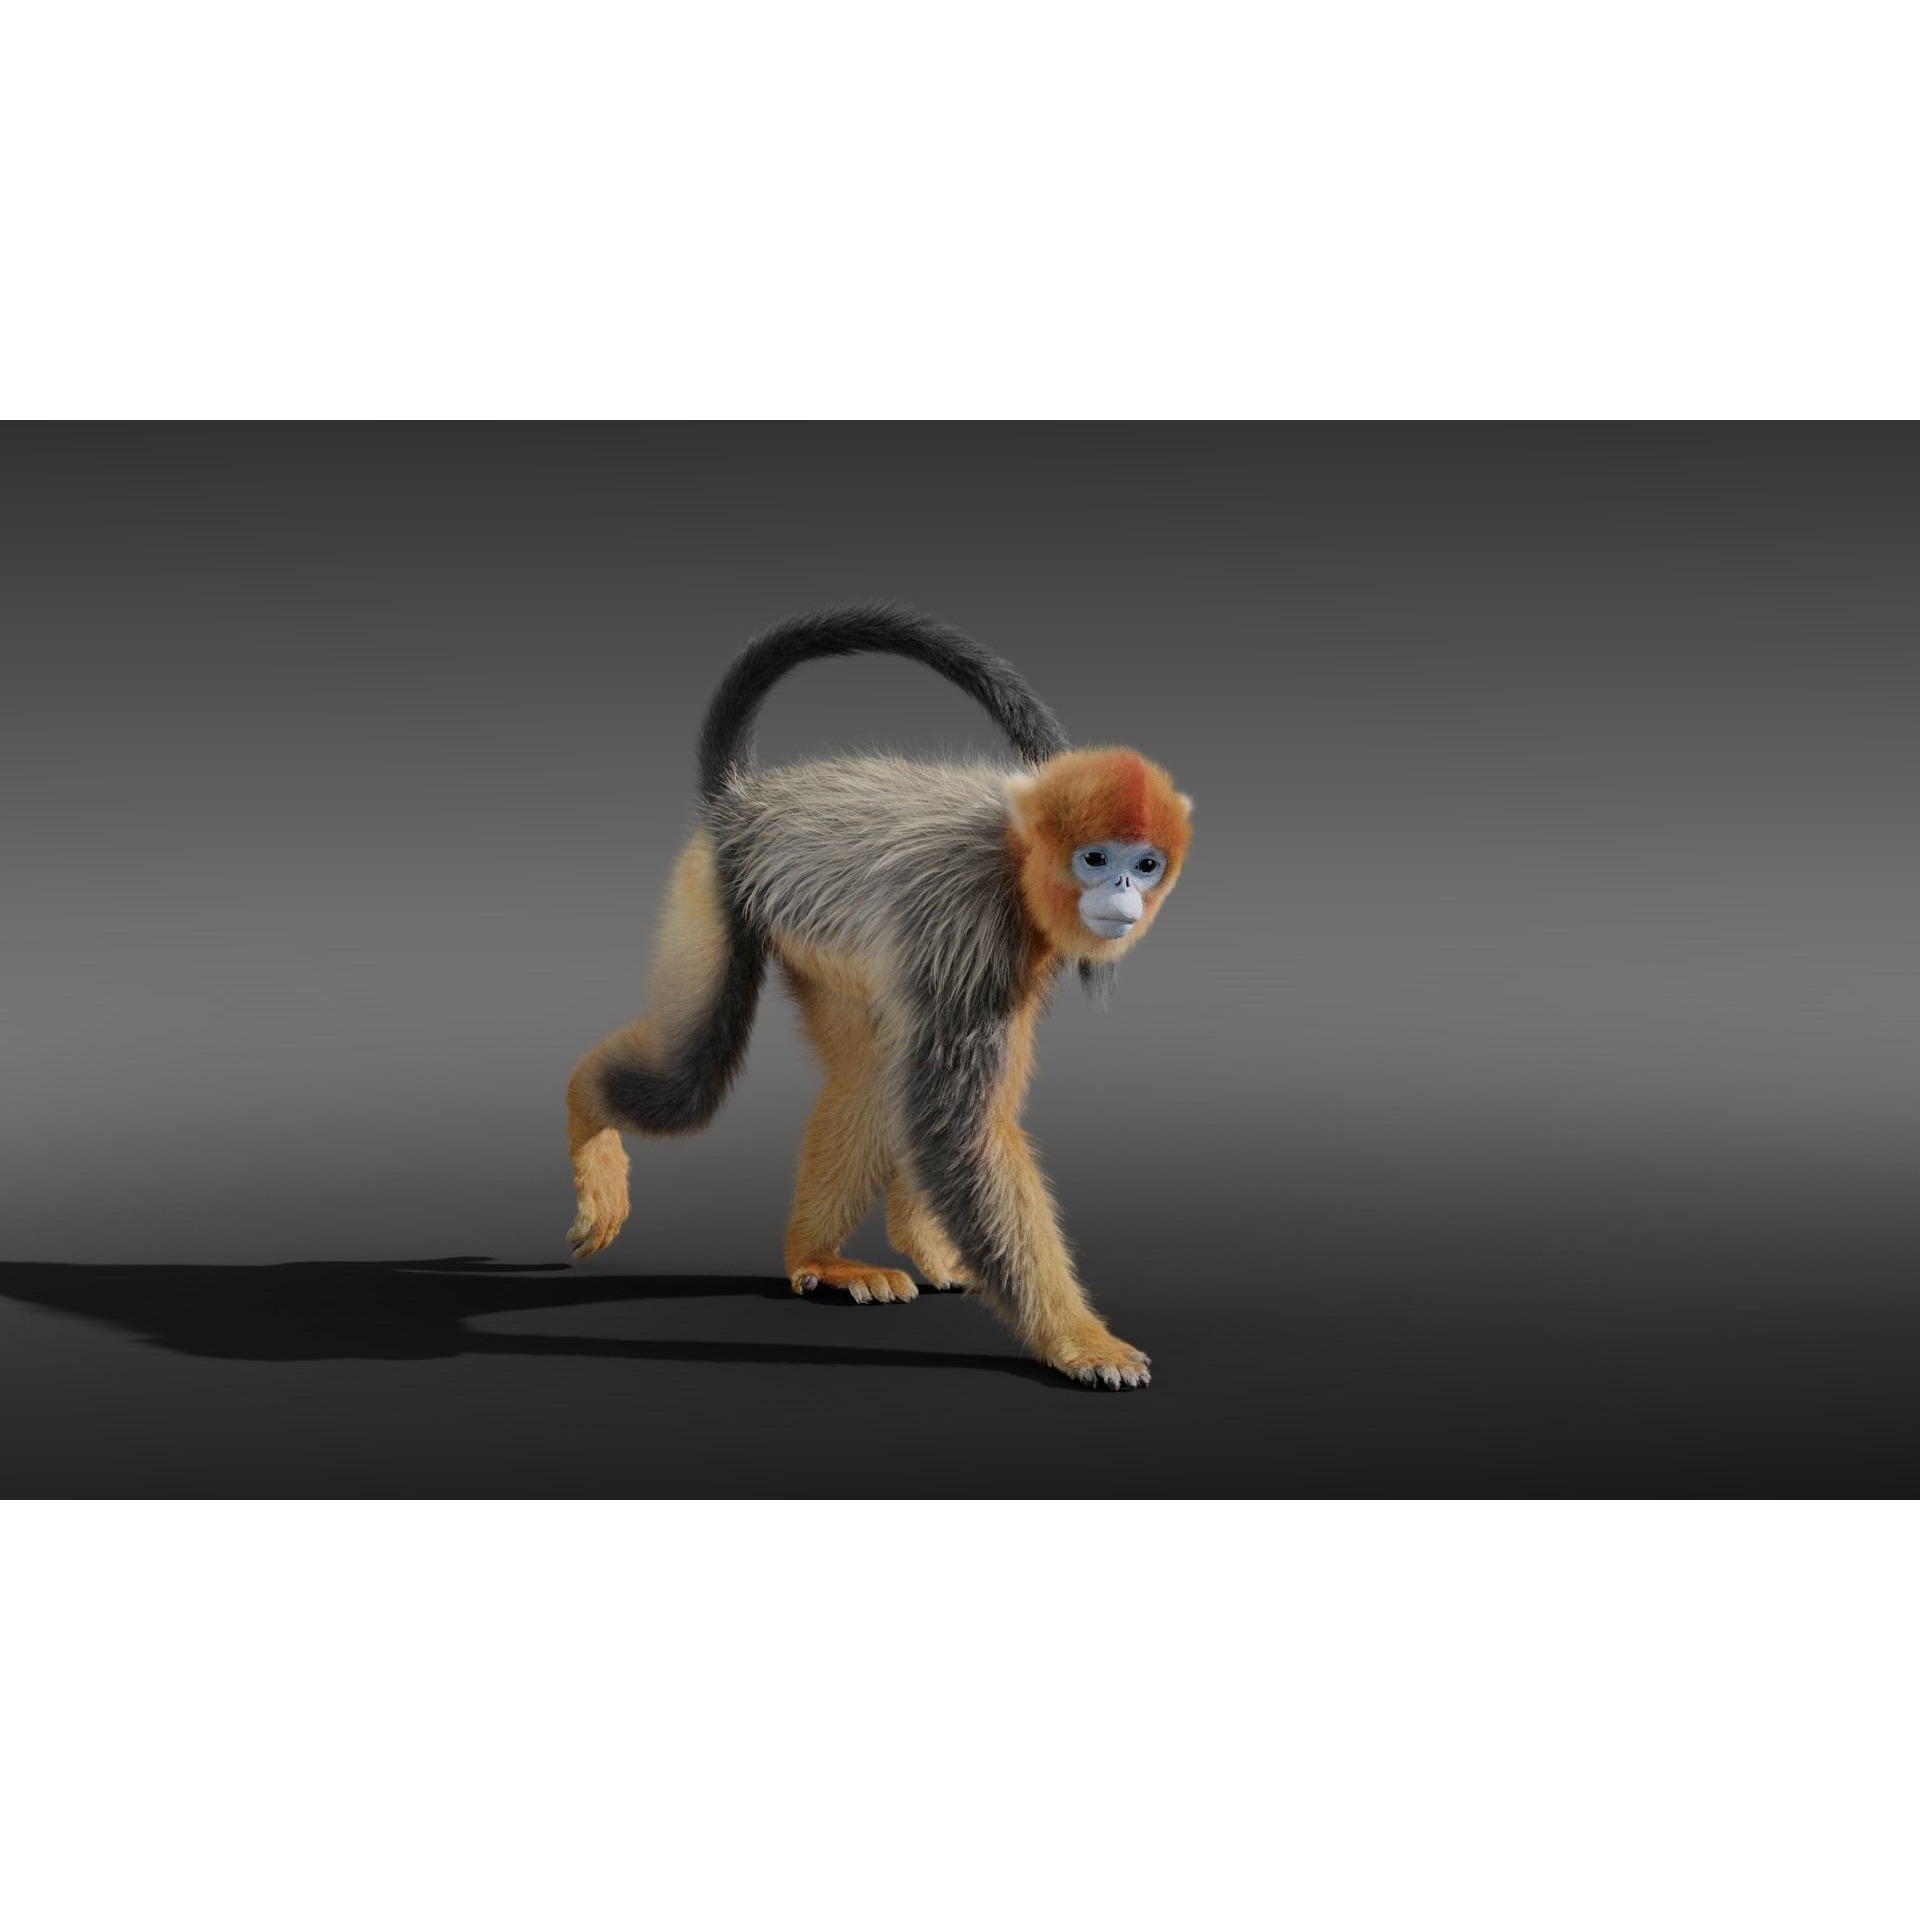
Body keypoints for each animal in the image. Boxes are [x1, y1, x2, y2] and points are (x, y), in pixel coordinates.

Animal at [563, 606, 1193, 1389]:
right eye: (1096, 858)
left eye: (1147, 862)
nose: (1124, 889)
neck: (1012, 854)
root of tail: (745, 800)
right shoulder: (967, 922)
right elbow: (960, 1128)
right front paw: (1075, 1340)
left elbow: (947, 1112)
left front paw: (925, 1240)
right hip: (711, 887)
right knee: (692, 1082)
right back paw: (587, 1103)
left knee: (867, 1075)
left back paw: (817, 1257)